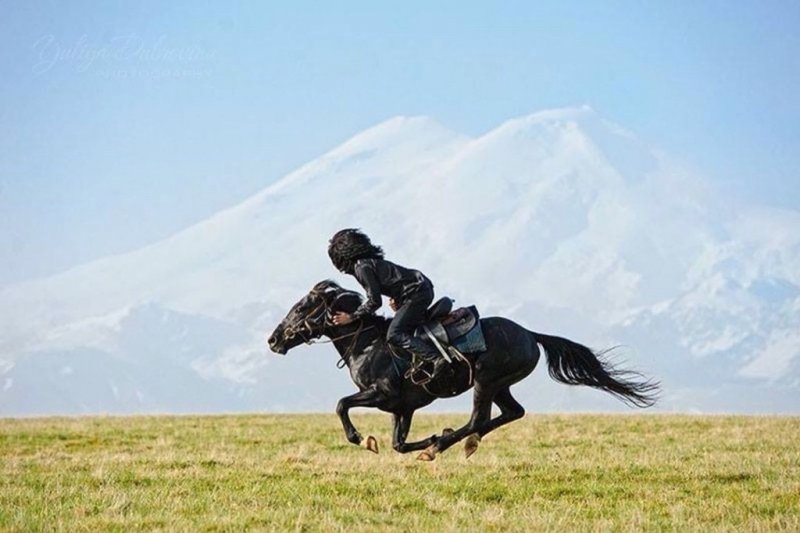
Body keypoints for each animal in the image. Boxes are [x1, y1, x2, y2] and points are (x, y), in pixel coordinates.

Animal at [266, 280, 660, 460]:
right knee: (510, 413)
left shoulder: (381, 394)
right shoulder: (402, 407)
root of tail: (531, 335)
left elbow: (341, 404)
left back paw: (444, 444)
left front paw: (364, 439)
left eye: (302, 307)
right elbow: (398, 444)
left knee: (479, 418)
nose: (273, 340)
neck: (366, 344)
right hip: (501, 384)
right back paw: (457, 442)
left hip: (485, 381)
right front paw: (424, 439)